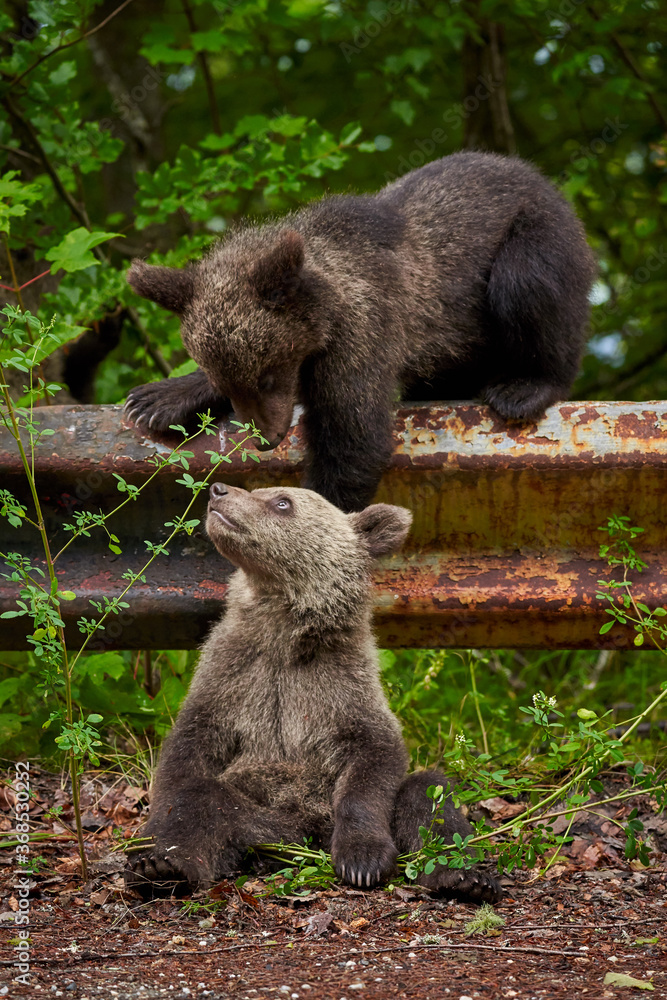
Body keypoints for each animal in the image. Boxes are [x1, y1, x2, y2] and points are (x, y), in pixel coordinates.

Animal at [124, 150, 596, 512]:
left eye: (267, 376)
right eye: (232, 383)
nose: (267, 440)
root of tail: (534, 175)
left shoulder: (363, 334)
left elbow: (353, 441)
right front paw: (157, 399)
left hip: (533, 237)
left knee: (528, 288)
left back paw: (524, 387)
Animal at [124, 482, 501, 904]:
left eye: (282, 501)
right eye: (262, 489)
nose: (219, 489)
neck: (283, 633)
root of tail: (302, 838)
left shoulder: (339, 682)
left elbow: (374, 754)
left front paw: (363, 859)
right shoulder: (232, 674)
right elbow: (186, 755)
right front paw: (150, 848)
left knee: (429, 794)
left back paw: (466, 878)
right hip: (257, 822)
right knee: (204, 800)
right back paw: (163, 869)